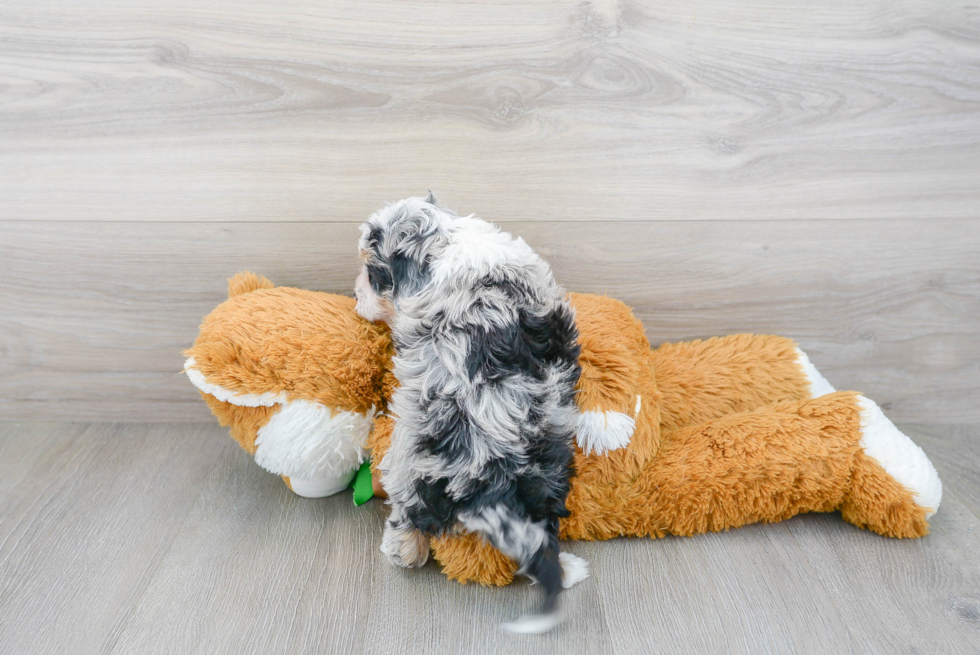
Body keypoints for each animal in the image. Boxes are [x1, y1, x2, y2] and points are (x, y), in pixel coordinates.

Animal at [354, 196, 588, 636]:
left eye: (372, 272)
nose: (354, 295)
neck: (446, 238)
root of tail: (497, 473)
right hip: (551, 473)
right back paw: (568, 569)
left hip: (408, 456)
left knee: (409, 512)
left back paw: (400, 551)